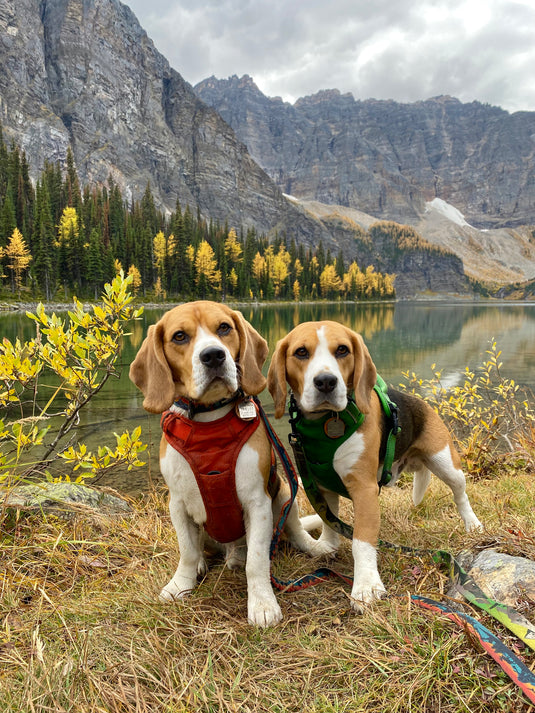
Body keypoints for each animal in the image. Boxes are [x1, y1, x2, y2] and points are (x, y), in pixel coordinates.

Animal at [268, 320, 482, 608]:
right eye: (301, 352)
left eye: (343, 350)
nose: (326, 382)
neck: (325, 424)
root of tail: (423, 403)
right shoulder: (322, 486)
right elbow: (329, 519)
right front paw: (327, 545)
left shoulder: (365, 490)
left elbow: (361, 541)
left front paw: (366, 586)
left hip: (446, 462)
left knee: (460, 494)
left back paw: (472, 523)